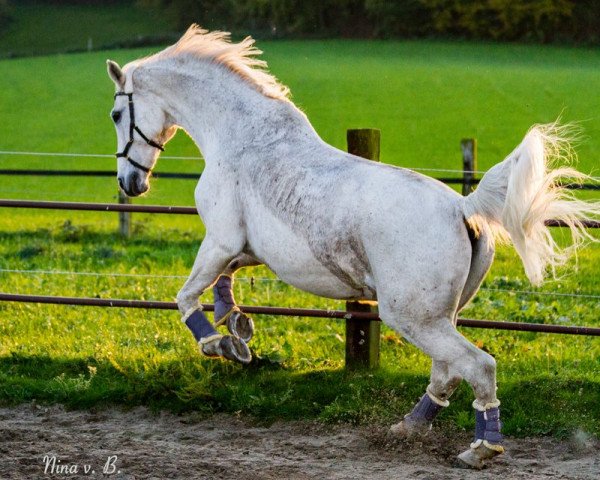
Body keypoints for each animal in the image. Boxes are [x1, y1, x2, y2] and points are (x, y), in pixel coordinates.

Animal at [108, 25, 600, 468]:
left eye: (115, 114)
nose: (130, 183)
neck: (243, 138)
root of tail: (464, 207)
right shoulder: (246, 248)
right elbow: (224, 282)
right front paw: (239, 327)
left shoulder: (220, 239)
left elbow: (187, 296)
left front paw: (220, 344)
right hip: (440, 315)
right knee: (446, 372)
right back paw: (407, 428)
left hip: (410, 316)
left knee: (477, 367)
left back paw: (480, 449)